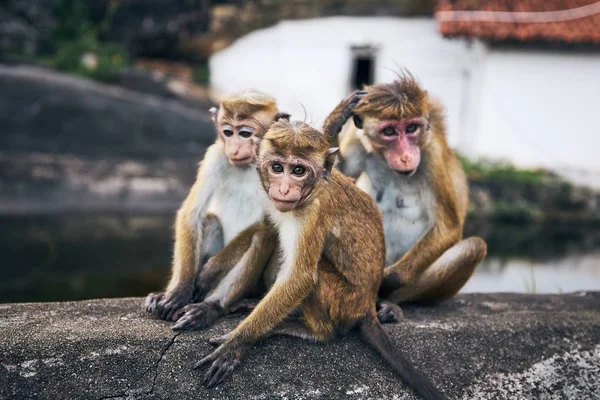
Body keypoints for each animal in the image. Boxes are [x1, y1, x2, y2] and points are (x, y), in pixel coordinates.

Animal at [145, 90, 286, 322]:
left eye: (245, 133)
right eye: (228, 132)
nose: (234, 148)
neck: (249, 166)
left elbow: (266, 226)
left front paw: (209, 272)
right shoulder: (216, 154)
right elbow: (191, 214)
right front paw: (179, 290)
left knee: (261, 237)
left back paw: (212, 307)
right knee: (210, 221)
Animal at [195, 119, 448, 400]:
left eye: (298, 170)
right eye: (276, 167)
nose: (284, 188)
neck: (313, 190)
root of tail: (367, 307)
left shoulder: (313, 213)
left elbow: (301, 277)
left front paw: (236, 344)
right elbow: (266, 227)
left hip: (344, 302)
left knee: (317, 279)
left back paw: (316, 332)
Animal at [324, 76, 488, 312]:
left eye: (411, 128)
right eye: (389, 132)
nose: (406, 156)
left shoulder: (431, 155)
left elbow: (447, 228)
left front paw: (382, 283)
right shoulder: (358, 138)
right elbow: (337, 172)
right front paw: (335, 119)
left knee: (474, 247)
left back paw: (387, 301)